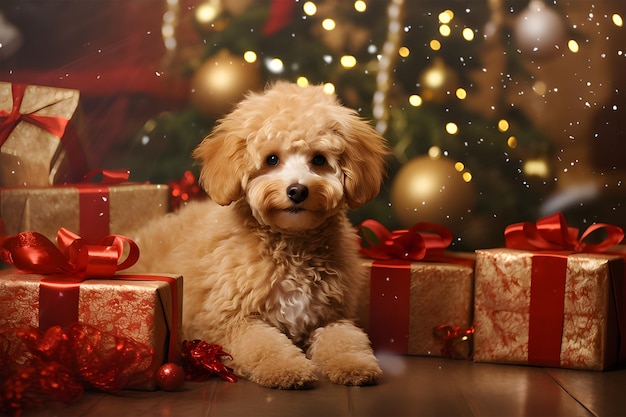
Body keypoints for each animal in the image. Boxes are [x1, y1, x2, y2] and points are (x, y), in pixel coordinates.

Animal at [131, 80, 386, 386]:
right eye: (272, 159)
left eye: (319, 160)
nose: (297, 190)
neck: (291, 246)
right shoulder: (230, 322)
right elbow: (265, 345)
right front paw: (287, 369)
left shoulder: (332, 316)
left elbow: (345, 339)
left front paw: (354, 365)